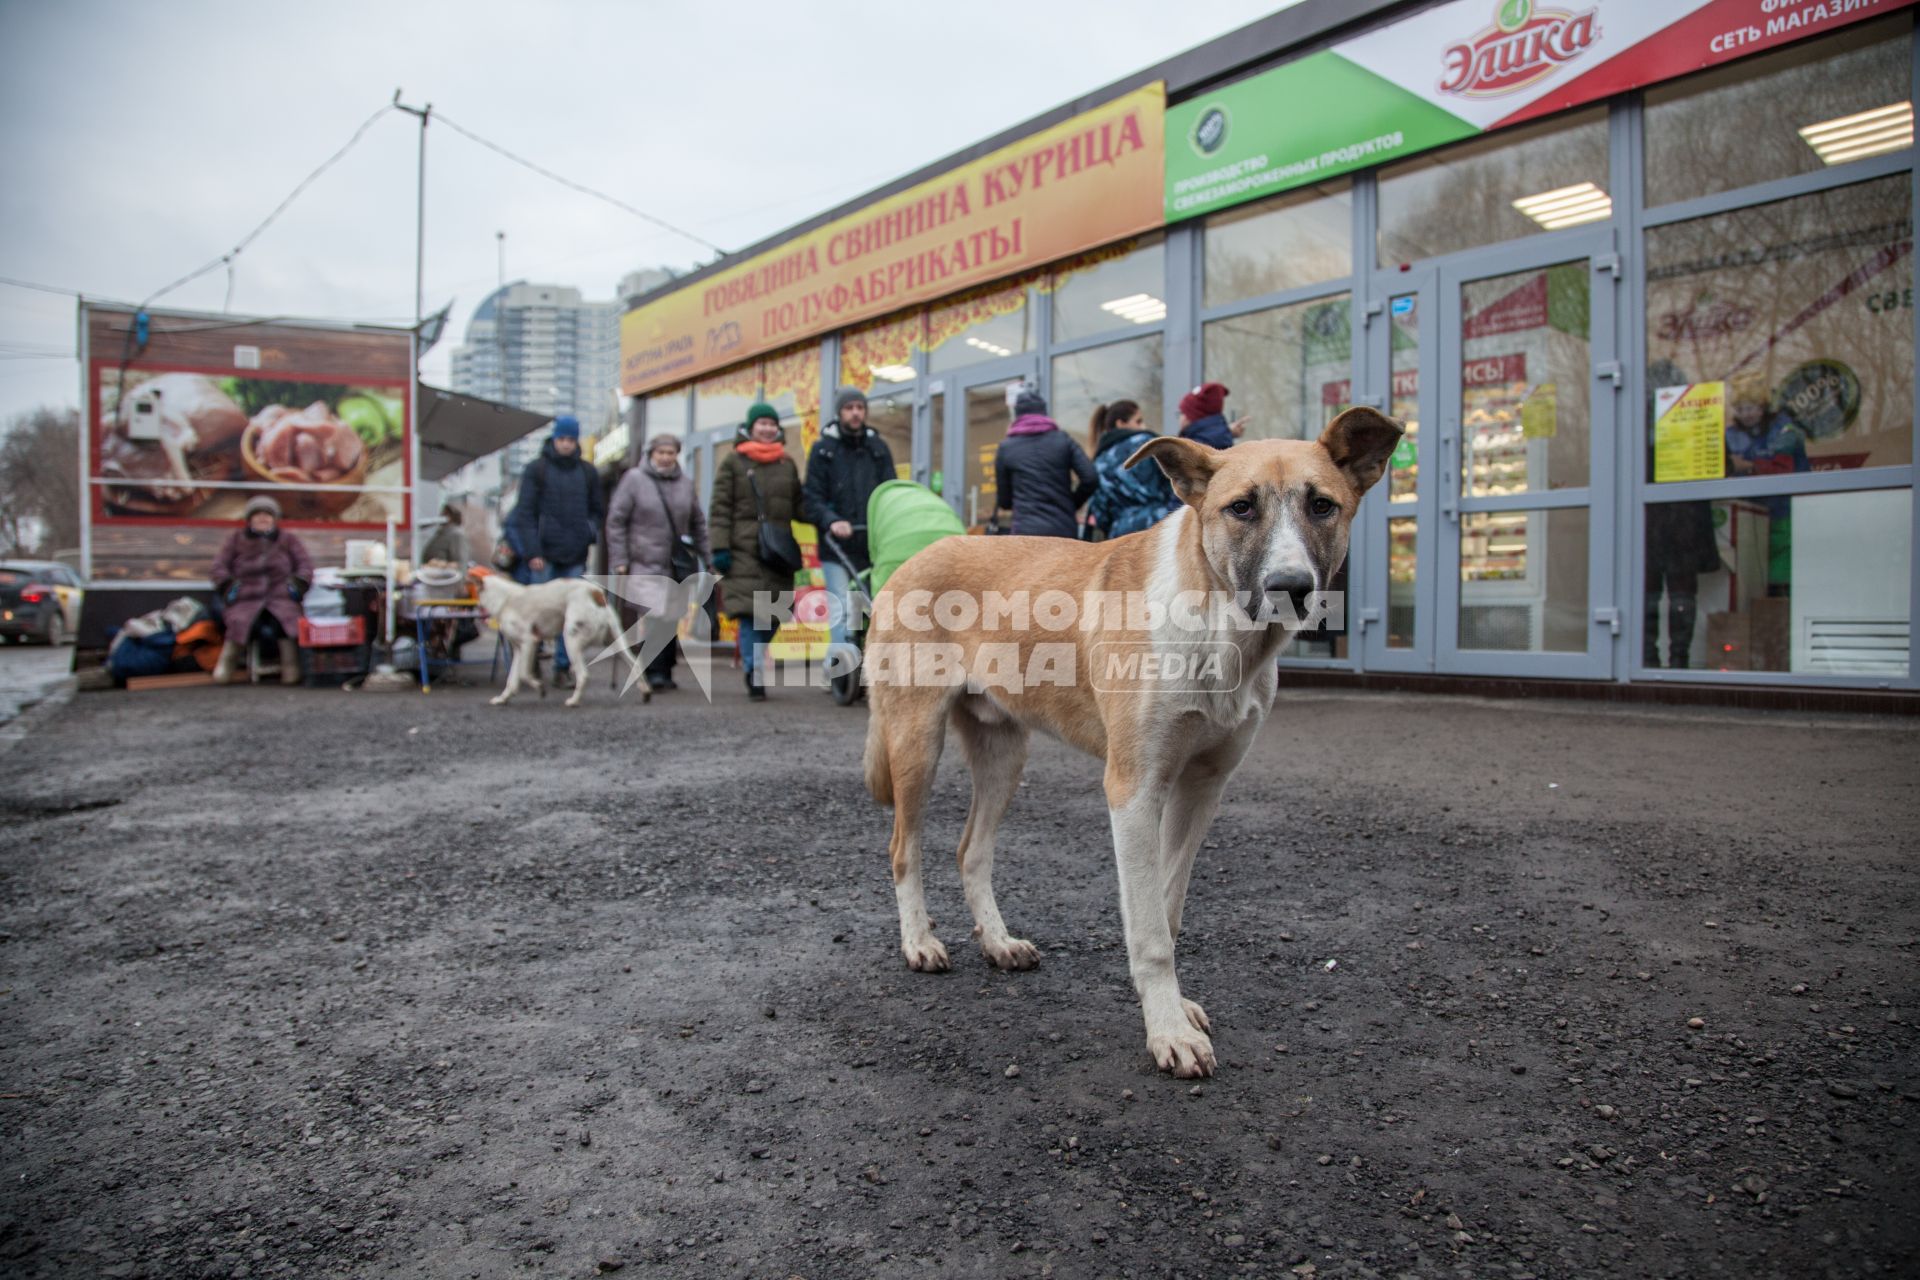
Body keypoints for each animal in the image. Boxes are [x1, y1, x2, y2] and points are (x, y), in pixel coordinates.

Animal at [464, 571, 645, 710]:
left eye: (468, 586)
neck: (504, 599)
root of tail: (595, 592)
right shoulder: (518, 649)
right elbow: (512, 680)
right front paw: (503, 699)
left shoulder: (529, 642)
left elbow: (523, 673)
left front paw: (540, 687)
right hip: (614, 641)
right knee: (635, 663)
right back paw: (646, 692)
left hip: (571, 640)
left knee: (583, 675)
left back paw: (574, 701)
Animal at [864, 404, 1405, 1074]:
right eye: (1241, 507)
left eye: (1323, 505)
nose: (1291, 585)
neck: (1219, 630)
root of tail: (916, 556)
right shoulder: (1134, 789)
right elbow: (1148, 930)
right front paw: (1168, 1031)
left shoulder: (1202, 789)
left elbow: (1167, 910)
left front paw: (1173, 1008)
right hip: (916, 742)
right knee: (903, 848)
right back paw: (920, 941)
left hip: (1004, 753)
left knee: (972, 850)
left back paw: (998, 941)